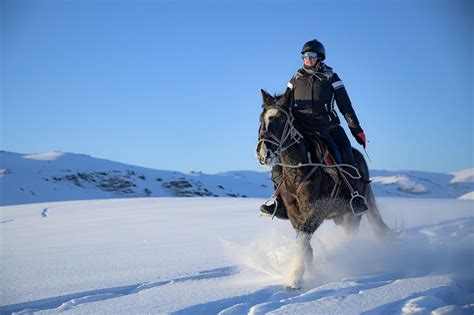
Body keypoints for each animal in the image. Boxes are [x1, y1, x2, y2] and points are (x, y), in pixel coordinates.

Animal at [256, 89, 396, 292]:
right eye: (262, 120)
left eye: (283, 120)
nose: (263, 153)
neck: (300, 170)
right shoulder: (293, 212)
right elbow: (302, 239)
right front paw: (306, 271)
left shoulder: (319, 208)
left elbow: (303, 236)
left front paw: (295, 279)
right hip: (341, 217)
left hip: (352, 215)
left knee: (350, 236)